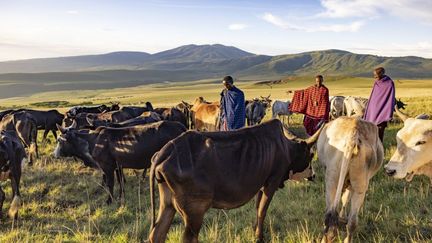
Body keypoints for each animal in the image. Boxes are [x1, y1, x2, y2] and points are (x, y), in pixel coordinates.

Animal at [54, 120, 186, 204]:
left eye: (59, 140)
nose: (54, 154)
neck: (92, 141)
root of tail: (181, 126)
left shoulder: (107, 167)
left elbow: (110, 184)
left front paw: (109, 200)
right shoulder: (118, 166)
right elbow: (120, 181)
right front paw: (121, 196)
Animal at [148, 119, 320, 243]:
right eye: (310, 155)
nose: (313, 175)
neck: (286, 148)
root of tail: (164, 152)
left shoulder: (261, 184)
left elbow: (257, 209)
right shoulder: (272, 182)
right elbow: (262, 211)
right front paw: (259, 237)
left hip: (168, 205)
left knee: (156, 234)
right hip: (194, 212)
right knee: (188, 238)